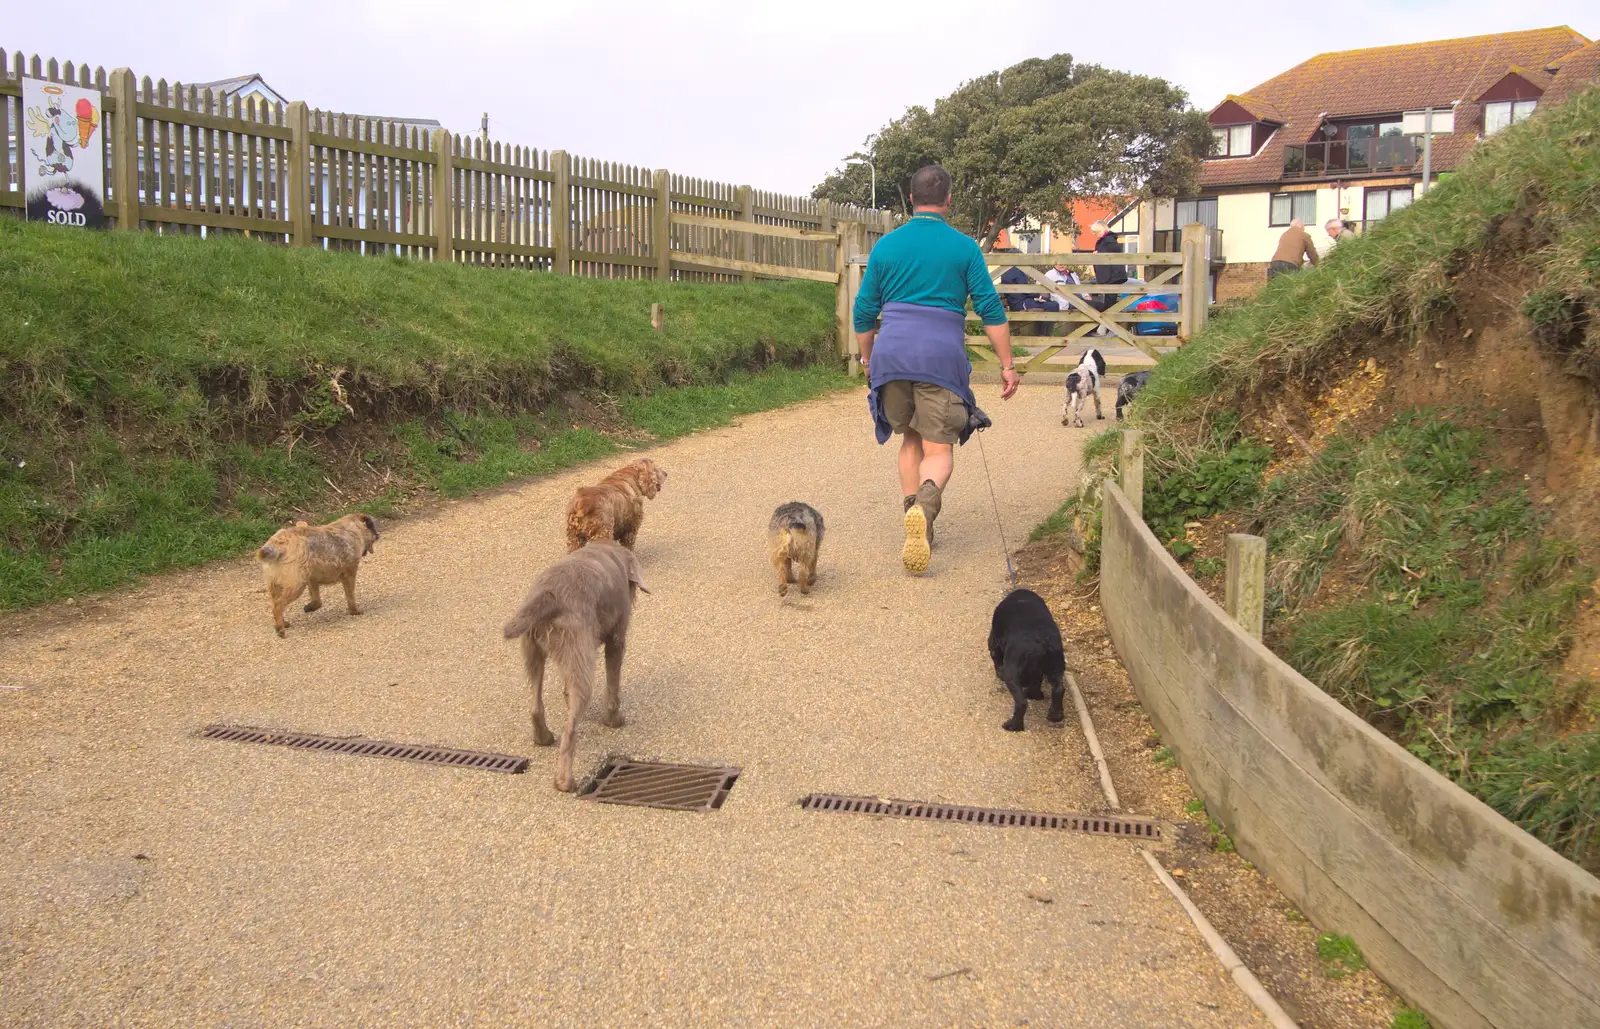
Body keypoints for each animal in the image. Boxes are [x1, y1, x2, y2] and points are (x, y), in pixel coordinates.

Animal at [502, 544, 646, 793]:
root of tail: (549, 594)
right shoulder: (616, 639)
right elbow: (613, 685)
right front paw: (614, 720)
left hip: (533, 650)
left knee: (536, 705)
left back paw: (543, 737)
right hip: (578, 651)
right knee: (570, 730)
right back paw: (564, 781)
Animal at [979, 588, 1068, 732]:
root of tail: (1042, 640)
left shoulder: (993, 643)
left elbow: (997, 661)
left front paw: (999, 674)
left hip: (1012, 671)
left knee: (1021, 702)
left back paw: (1014, 725)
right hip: (1056, 666)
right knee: (1058, 689)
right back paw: (1054, 714)